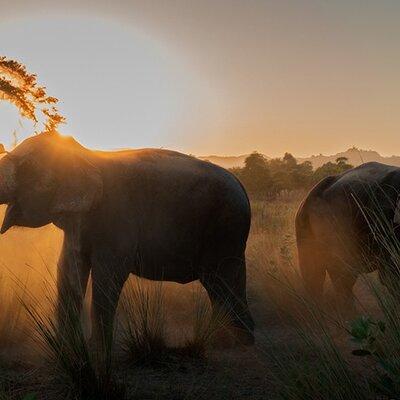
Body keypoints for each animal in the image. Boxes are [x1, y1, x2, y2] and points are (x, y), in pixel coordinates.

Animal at [0, 131, 255, 344]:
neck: (85, 155)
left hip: (226, 228)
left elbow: (109, 274)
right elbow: (68, 269)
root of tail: (243, 188)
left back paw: (231, 343)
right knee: (222, 283)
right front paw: (67, 348)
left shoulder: (117, 217)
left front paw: (97, 350)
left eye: (27, 168)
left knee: (221, 280)